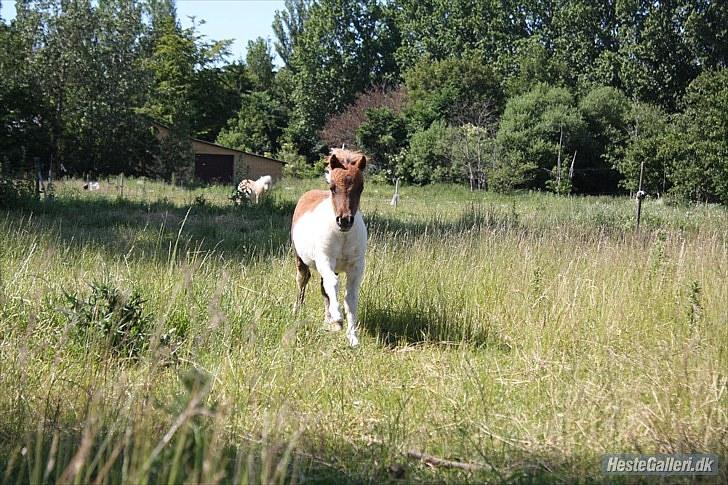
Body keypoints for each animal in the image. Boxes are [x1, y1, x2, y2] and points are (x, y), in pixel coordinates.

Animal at [290, 149, 366, 346]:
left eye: (361, 188)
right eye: (333, 187)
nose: (345, 220)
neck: (343, 236)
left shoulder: (356, 266)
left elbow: (350, 298)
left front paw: (352, 337)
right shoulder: (325, 260)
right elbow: (333, 284)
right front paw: (338, 318)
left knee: (324, 290)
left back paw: (328, 320)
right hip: (300, 259)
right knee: (303, 280)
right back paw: (297, 310)